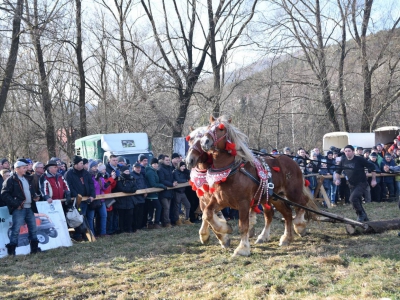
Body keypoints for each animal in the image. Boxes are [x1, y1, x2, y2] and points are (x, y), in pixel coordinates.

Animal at [198, 116, 318, 256]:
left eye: (221, 129)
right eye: (208, 127)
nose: (204, 142)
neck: (231, 171)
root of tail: (292, 161)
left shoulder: (243, 203)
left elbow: (243, 226)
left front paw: (242, 248)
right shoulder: (221, 200)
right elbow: (207, 213)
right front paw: (225, 229)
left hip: (292, 192)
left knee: (302, 203)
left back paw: (299, 226)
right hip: (275, 197)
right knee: (287, 213)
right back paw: (285, 238)